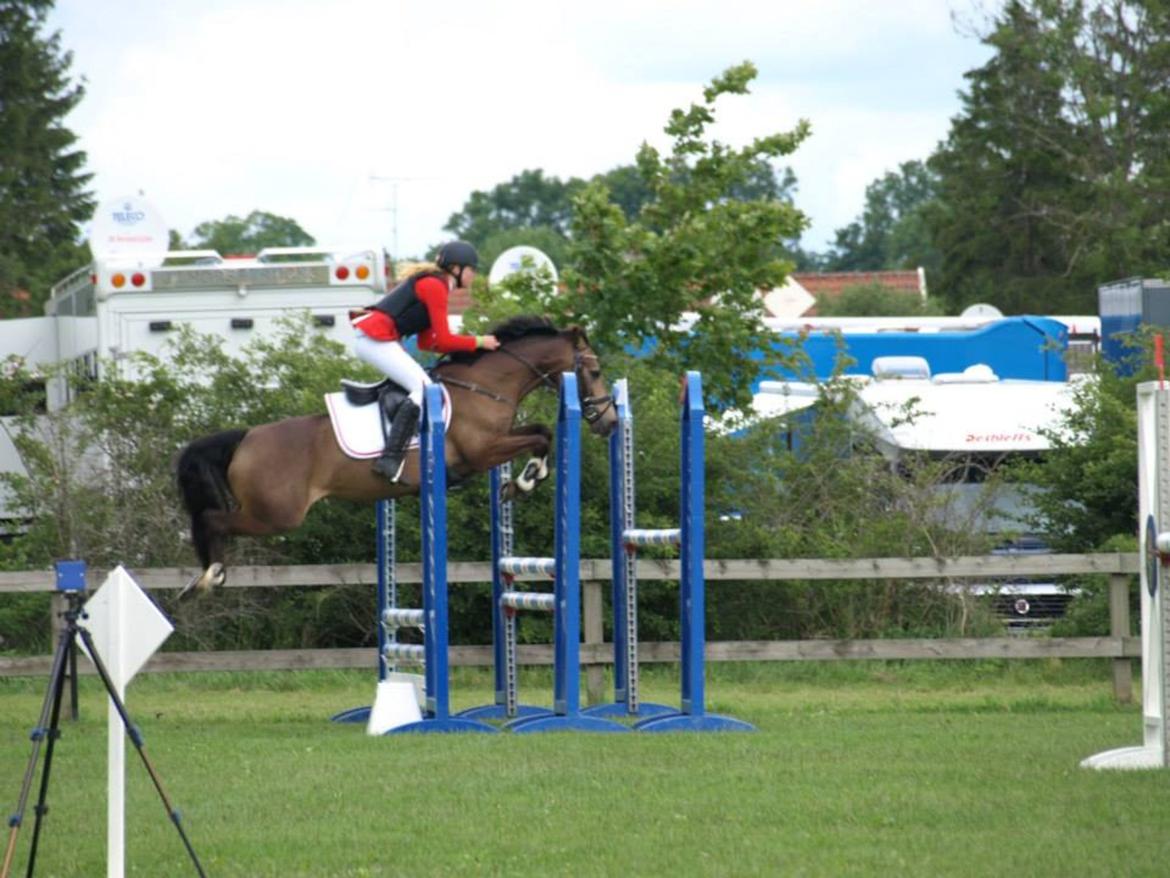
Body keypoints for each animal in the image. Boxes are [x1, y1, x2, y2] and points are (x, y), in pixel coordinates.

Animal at [175, 316, 618, 596]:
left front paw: (521, 482)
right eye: (595, 372)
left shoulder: (497, 441)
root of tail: (247, 438)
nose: (610, 422)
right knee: (212, 519)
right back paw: (208, 577)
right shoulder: (482, 452)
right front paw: (524, 481)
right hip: (277, 514)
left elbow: (541, 432)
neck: (485, 385)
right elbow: (541, 438)